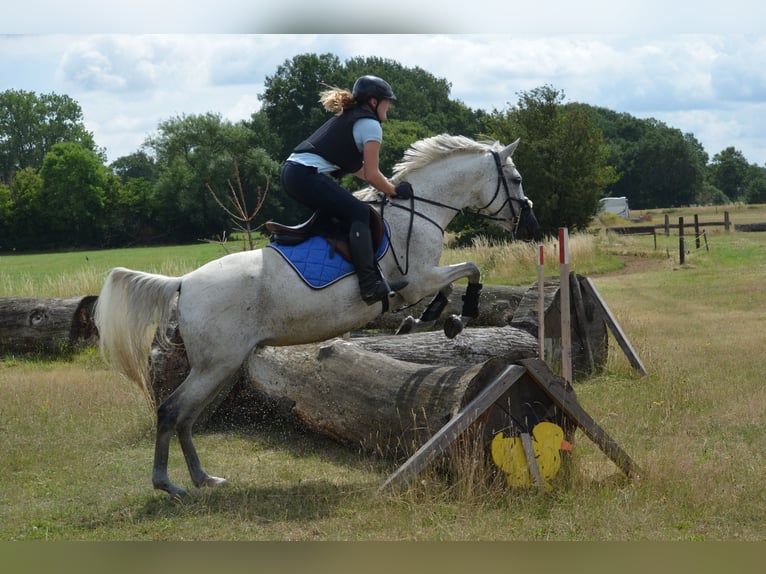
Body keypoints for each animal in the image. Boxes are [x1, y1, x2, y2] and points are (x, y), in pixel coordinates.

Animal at [94, 134, 540, 500]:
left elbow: (449, 285)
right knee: (172, 411)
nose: (529, 225)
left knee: (186, 416)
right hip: (215, 364)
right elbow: (469, 270)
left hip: (222, 365)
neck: (419, 210)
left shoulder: (420, 281)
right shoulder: (417, 280)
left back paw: (204, 478)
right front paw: (460, 315)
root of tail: (184, 281)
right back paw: (168, 484)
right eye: (517, 179)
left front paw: (429, 319)